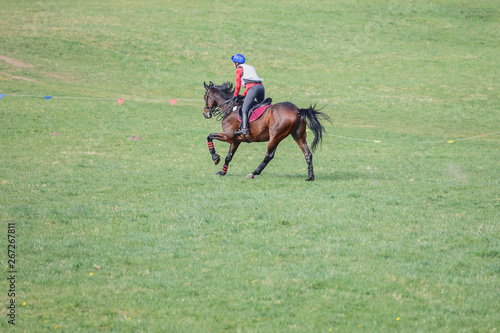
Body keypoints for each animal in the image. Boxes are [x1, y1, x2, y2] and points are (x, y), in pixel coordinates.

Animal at [201, 80, 330, 180]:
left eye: (205, 97)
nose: (205, 113)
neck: (231, 107)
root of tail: (297, 110)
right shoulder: (236, 140)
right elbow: (229, 157)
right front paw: (222, 172)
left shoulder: (228, 136)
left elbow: (209, 136)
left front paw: (215, 157)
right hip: (297, 136)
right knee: (307, 154)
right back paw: (310, 177)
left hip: (275, 137)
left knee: (268, 156)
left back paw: (253, 173)